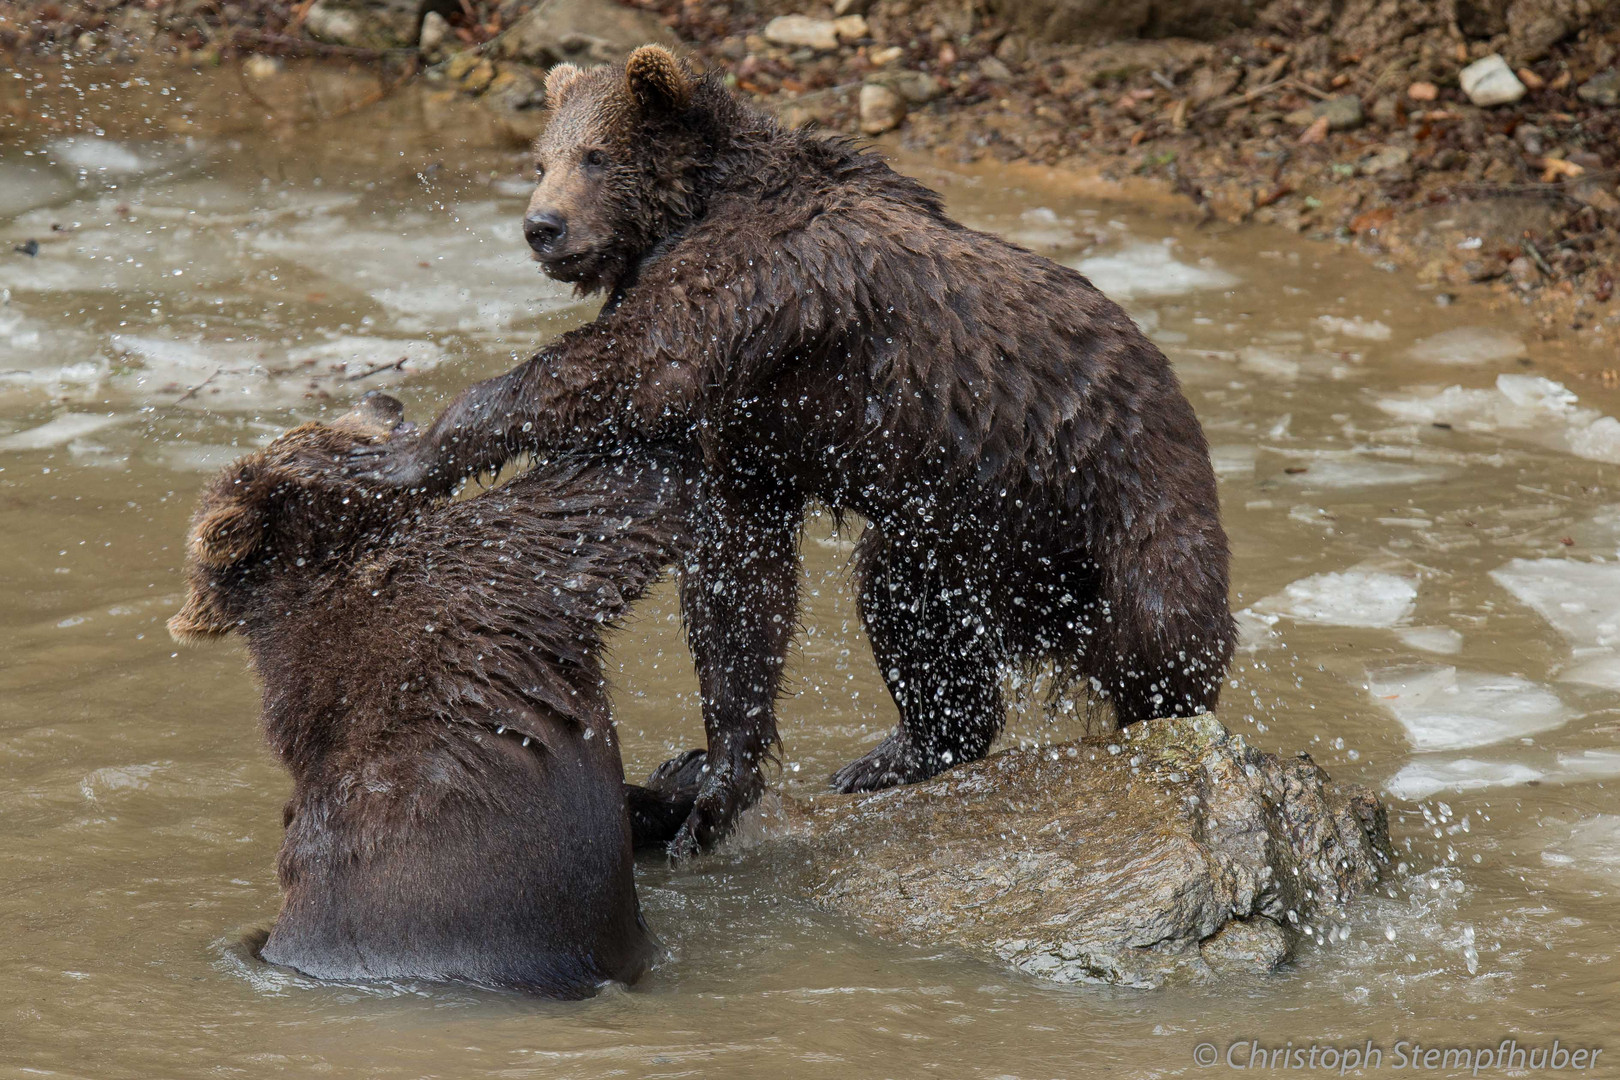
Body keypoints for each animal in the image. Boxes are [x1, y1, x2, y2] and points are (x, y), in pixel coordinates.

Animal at [354, 48, 1231, 861]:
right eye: (541, 160)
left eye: (595, 156)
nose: (543, 227)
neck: (697, 205)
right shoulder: (748, 436)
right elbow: (739, 587)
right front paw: (708, 774)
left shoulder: (748, 290)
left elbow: (625, 368)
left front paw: (404, 457)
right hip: (961, 535)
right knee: (908, 607)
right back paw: (896, 753)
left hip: (1116, 498)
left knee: (1165, 641)